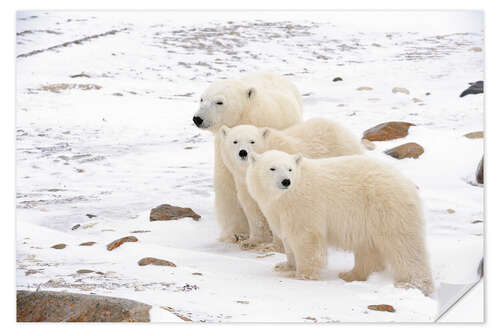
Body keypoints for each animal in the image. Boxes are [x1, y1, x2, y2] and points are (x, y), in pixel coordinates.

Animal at [191, 72, 300, 241]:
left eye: (219, 102)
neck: (247, 118)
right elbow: (228, 185)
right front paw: (235, 232)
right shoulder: (224, 148)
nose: (198, 118)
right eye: (202, 99)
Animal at [219, 118, 364, 248]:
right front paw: (251, 241)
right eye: (235, 141)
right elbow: (252, 208)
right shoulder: (245, 181)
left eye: (252, 141)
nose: (243, 152)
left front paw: (277, 245)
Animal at [246, 149, 434, 294]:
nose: (286, 181)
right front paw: (284, 266)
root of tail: (408, 183)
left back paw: (412, 283)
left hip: (386, 207)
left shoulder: (304, 206)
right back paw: (351, 274)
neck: (286, 196)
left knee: (404, 245)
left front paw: (303, 275)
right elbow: (288, 238)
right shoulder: (278, 211)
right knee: (368, 248)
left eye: (290, 169)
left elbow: (305, 238)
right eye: (272, 168)